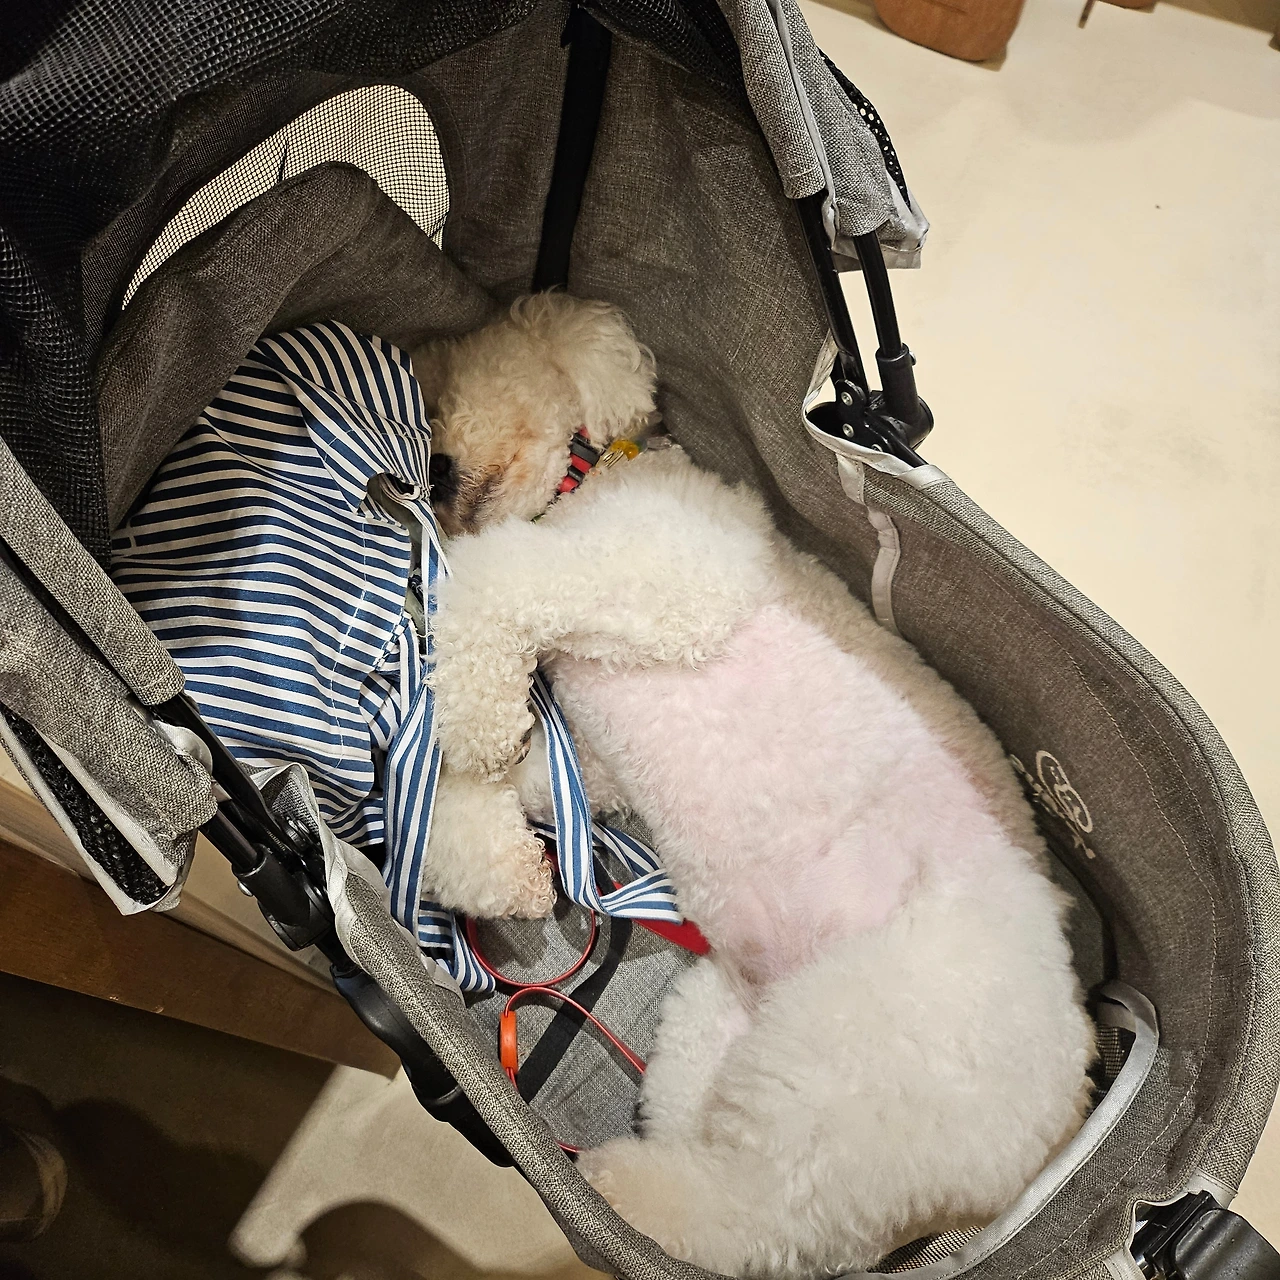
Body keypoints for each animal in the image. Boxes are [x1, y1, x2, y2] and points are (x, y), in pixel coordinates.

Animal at [410, 294, 1096, 1279]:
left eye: (447, 394)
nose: (429, 474)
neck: (591, 479)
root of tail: (1065, 1110)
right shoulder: (592, 767)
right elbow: (500, 787)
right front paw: (491, 854)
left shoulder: (654, 576)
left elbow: (498, 579)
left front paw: (468, 720)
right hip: (727, 1028)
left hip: (851, 1059)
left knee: (754, 1222)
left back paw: (619, 1201)